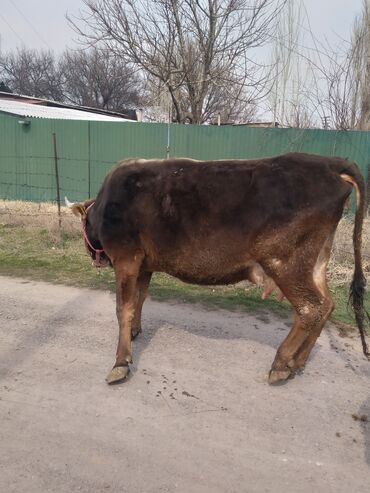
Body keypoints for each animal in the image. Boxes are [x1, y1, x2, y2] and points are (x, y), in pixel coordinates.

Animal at [68, 152, 368, 382]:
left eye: (82, 224)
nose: (92, 255)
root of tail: (330, 163)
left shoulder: (126, 257)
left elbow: (124, 308)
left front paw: (120, 362)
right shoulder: (145, 263)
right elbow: (140, 299)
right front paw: (134, 332)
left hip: (285, 263)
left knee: (310, 308)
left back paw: (282, 364)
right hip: (315, 261)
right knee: (326, 304)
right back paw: (298, 362)